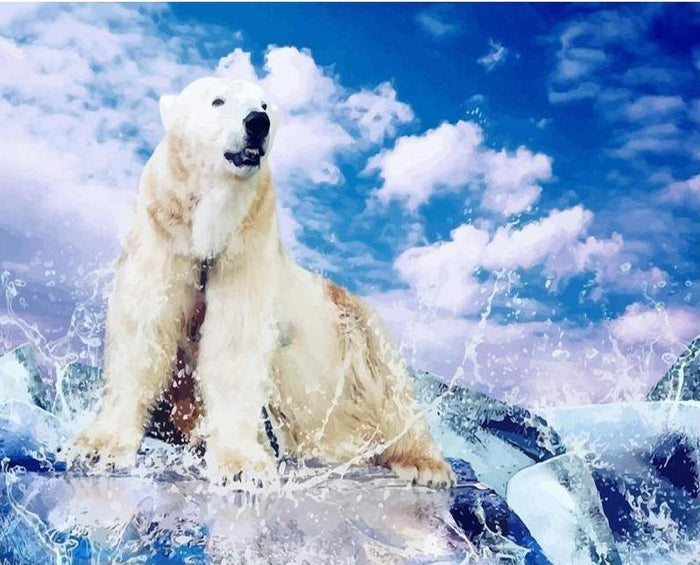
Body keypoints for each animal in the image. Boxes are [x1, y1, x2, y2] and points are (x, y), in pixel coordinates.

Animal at [69, 77, 454, 488]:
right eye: (217, 100)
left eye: (266, 104)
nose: (257, 122)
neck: (211, 227)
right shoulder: (165, 230)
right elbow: (144, 326)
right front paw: (97, 448)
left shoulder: (248, 243)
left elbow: (235, 340)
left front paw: (242, 466)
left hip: (358, 325)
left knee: (391, 387)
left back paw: (423, 464)